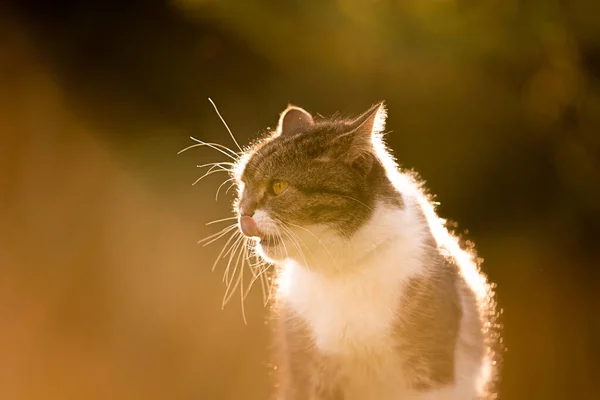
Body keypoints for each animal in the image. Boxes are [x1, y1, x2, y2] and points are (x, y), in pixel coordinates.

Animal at [202, 102, 496, 400]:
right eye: (243, 185)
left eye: (278, 186)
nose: (242, 213)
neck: (340, 269)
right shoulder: (311, 373)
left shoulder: (430, 370)